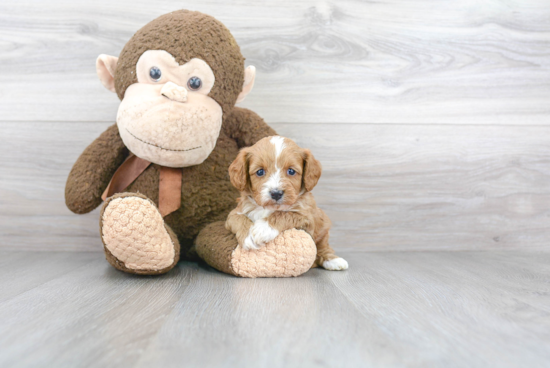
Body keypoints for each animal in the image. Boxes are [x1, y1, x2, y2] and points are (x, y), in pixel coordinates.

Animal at [225, 135, 350, 270]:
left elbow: (285, 214)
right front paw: (248, 235)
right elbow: (238, 218)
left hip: (323, 226)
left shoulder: (307, 217)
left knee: (323, 247)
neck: (270, 208)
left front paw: (263, 229)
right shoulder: (235, 213)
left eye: (291, 171)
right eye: (260, 172)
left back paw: (334, 260)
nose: (276, 193)